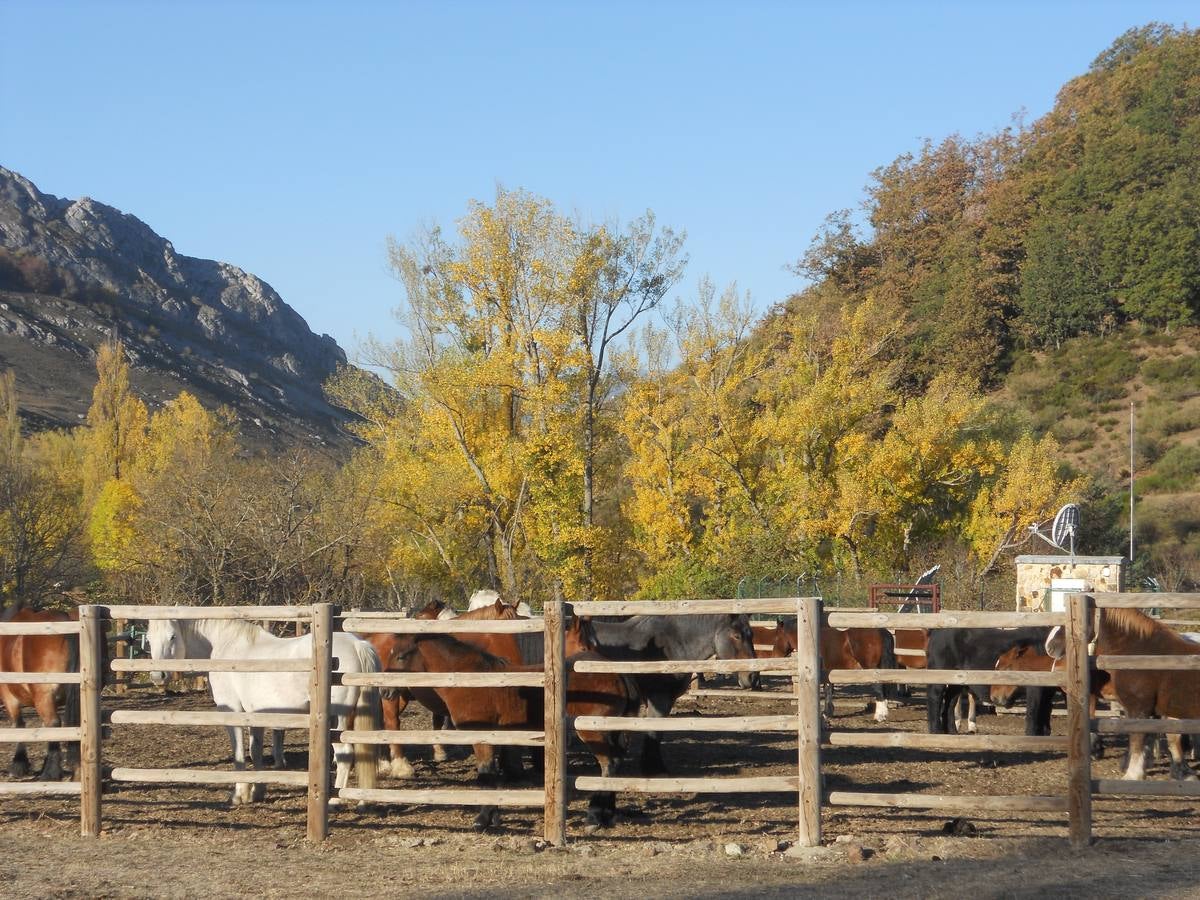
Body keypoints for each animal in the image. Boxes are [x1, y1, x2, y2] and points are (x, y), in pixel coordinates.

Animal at [0, 609, 79, 787]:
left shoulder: (9, 697)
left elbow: (19, 725)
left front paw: (19, 764)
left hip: (43, 696)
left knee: (54, 724)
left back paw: (51, 773)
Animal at [147, 624, 379, 806]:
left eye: (172, 636)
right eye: (148, 638)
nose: (158, 675)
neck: (227, 647)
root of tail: (357, 645)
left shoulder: (232, 712)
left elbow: (239, 754)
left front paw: (239, 795)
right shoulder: (256, 715)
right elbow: (255, 751)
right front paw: (257, 792)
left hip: (336, 721)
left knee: (345, 754)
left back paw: (335, 800)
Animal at [386, 628, 638, 830]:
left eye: (401, 655)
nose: (385, 691)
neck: (471, 680)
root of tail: (617, 673)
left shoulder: (480, 736)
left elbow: (485, 774)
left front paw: (482, 820)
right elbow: (492, 775)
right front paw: (494, 816)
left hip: (593, 733)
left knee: (608, 765)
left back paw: (593, 817)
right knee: (614, 765)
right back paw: (607, 816)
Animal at [585, 619, 753, 777]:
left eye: (751, 635)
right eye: (737, 636)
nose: (753, 677)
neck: (672, 644)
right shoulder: (659, 699)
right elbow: (654, 731)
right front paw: (654, 769)